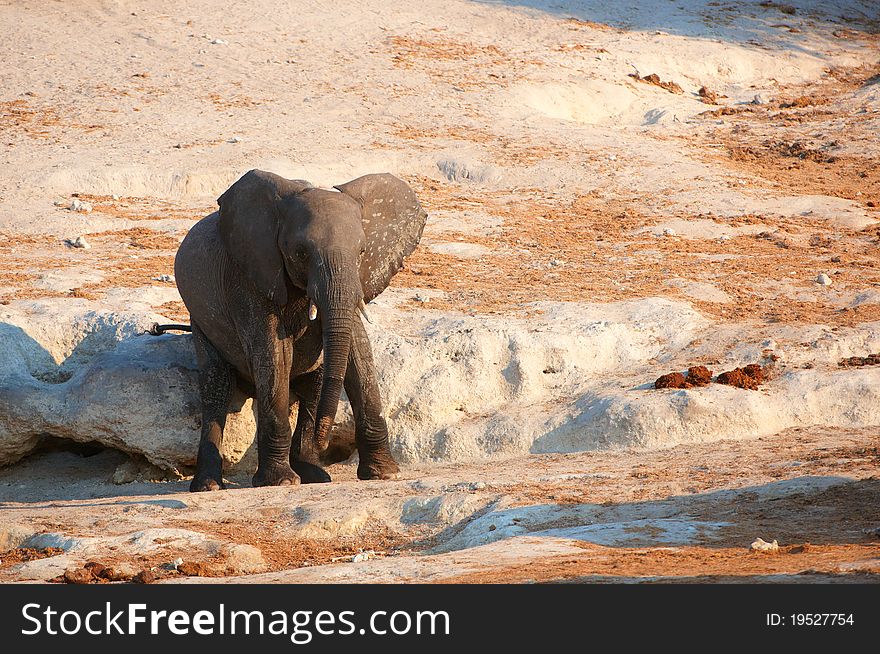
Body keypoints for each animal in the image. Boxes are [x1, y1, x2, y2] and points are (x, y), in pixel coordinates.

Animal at [174, 169, 428, 492]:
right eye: (301, 253)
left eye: (362, 252)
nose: (326, 441)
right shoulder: (249, 277)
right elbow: (274, 353)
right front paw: (280, 482)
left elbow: (358, 350)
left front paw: (385, 474)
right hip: (201, 325)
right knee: (216, 389)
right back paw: (209, 485)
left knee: (313, 386)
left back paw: (315, 475)